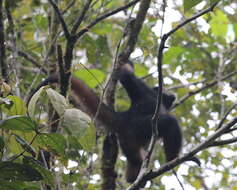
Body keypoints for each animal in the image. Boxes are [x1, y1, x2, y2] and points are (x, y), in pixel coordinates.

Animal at [28, 63, 182, 183]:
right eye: (165, 91)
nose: (171, 95)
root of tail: (123, 118)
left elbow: (123, 73)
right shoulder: (145, 90)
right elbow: (126, 75)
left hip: (127, 140)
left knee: (135, 161)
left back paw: (134, 179)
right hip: (138, 128)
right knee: (170, 122)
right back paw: (172, 160)